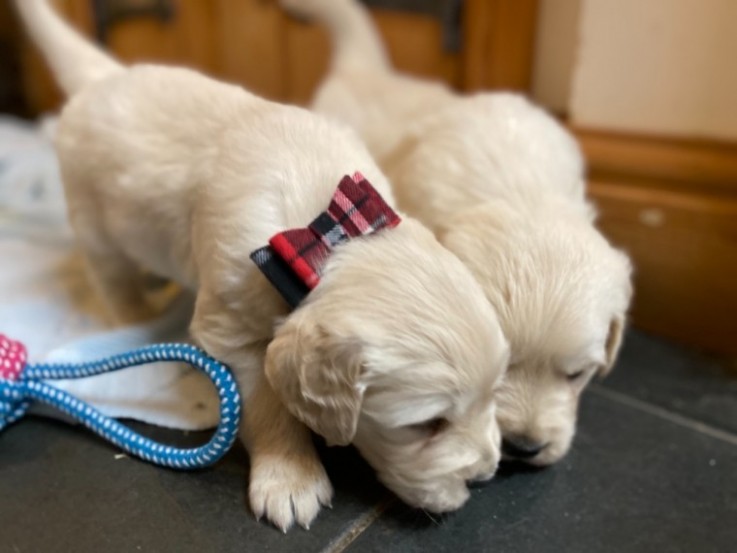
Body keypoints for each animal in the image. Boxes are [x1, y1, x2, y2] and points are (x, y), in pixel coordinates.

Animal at [17, 0, 512, 532]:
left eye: (496, 391)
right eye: (426, 425)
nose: (485, 476)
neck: (328, 233)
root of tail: (102, 78)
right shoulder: (232, 322)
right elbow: (268, 402)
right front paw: (291, 479)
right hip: (96, 227)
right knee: (114, 281)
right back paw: (138, 315)